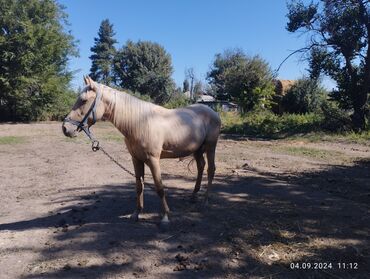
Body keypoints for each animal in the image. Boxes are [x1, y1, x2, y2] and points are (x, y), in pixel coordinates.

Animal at [62, 76, 221, 228]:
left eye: (83, 100)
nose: (65, 128)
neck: (140, 123)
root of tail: (213, 112)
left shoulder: (153, 160)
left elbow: (159, 188)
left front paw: (165, 217)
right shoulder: (136, 159)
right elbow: (139, 186)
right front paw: (136, 213)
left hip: (211, 146)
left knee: (210, 170)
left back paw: (205, 201)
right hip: (197, 150)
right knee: (200, 167)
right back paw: (194, 196)